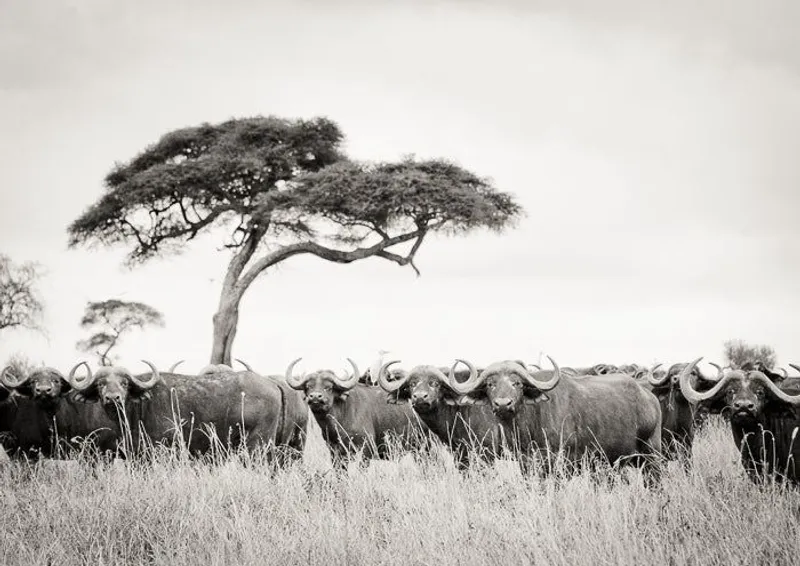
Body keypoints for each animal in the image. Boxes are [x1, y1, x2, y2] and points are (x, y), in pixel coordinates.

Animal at [449, 358, 663, 479]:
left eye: (517, 383)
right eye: (490, 384)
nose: (503, 404)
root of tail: (649, 397)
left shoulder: (562, 464)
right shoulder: (526, 465)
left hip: (651, 456)